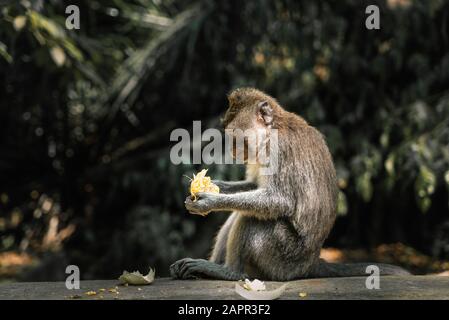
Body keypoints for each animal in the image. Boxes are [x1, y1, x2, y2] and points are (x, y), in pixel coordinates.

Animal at [169, 87, 410, 280]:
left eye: (236, 137)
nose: (232, 151)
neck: (272, 130)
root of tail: (312, 263)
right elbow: (255, 186)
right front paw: (211, 187)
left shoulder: (279, 149)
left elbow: (279, 201)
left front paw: (208, 201)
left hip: (284, 257)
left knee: (252, 219)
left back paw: (229, 272)